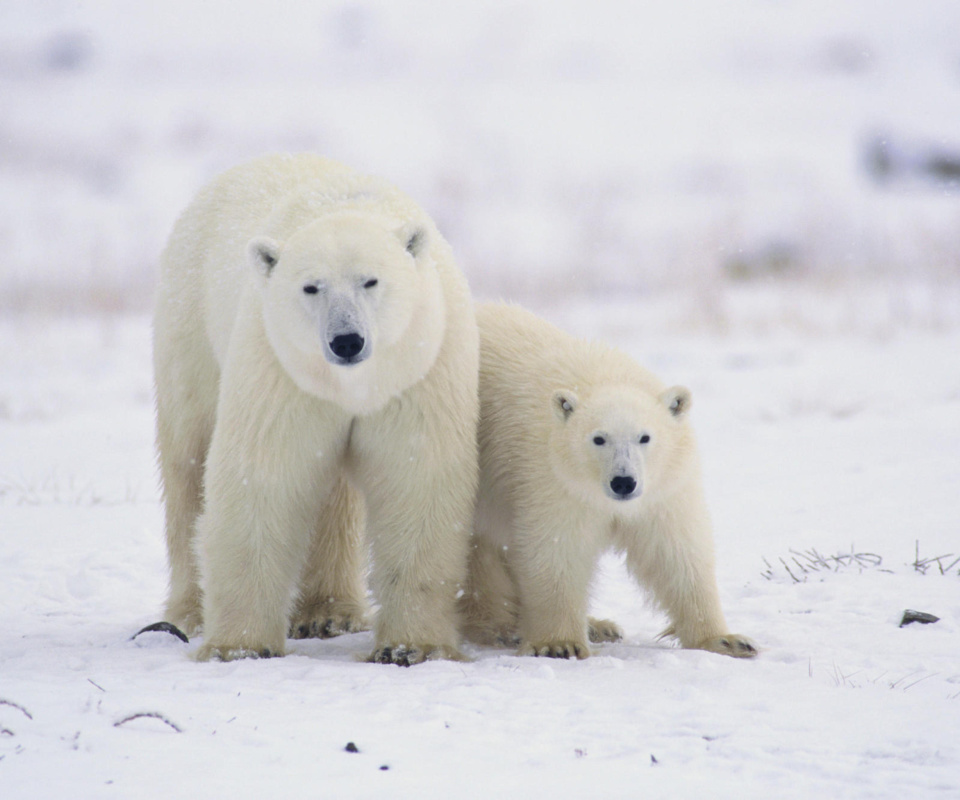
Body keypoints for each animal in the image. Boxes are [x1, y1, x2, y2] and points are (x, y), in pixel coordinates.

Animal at [155, 153, 480, 664]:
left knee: (334, 497)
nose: (346, 340)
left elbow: (417, 478)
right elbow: (263, 475)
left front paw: (411, 646)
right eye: (311, 287)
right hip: (189, 326)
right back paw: (188, 612)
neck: (351, 385)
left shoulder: (418, 367)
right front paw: (239, 646)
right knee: (188, 460)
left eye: (371, 280)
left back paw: (329, 613)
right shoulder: (281, 369)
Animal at [460, 304, 756, 660]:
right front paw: (560, 643)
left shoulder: (663, 488)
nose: (623, 482)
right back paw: (500, 626)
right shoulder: (551, 478)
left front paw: (727, 640)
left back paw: (599, 625)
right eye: (598, 438)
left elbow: (675, 551)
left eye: (645, 437)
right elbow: (557, 549)